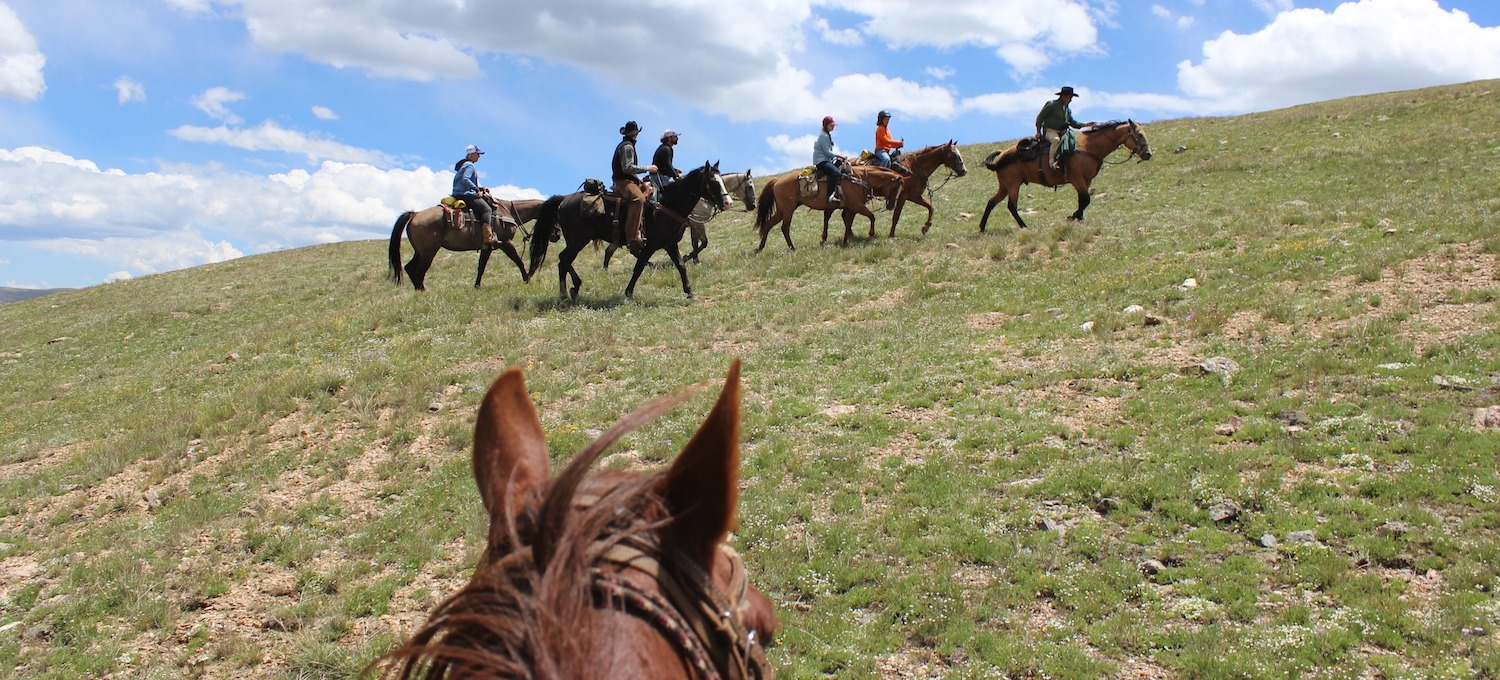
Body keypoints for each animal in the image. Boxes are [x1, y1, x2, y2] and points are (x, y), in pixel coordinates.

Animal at [390, 196, 549, 291]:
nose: (554, 235)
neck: (507, 212)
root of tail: (415, 214)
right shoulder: (506, 243)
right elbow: (519, 261)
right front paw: (527, 279)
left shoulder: (488, 247)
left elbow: (481, 267)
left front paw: (477, 286)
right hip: (428, 252)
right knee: (419, 271)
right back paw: (423, 291)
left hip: (420, 252)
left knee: (409, 268)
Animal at [534, 161, 732, 300]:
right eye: (713, 182)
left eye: (722, 181)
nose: (728, 202)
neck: (668, 206)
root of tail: (564, 200)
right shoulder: (649, 246)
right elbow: (639, 267)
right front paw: (628, 293)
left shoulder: (670, 244)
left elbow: (681, 265)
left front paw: (689, 291)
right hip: (577, 240)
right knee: (564, 260)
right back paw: (566, 292)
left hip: (578, 240)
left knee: (565, 260)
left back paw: (574, 288)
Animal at [603, 168, 756, 265]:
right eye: (750, 186)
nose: (753, 205)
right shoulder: (697, 223)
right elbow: (704, 242)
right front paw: (688, 257)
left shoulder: (694, 225)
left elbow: (696, 242)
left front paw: (695, 260)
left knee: (611, 250)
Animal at [978, 119, 1152, 231]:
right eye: (1139, 134)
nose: (1148, 154)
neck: (1088, 146)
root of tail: (1002, 155)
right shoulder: (1077, 179)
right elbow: (1086, 199)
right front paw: (1073, 216)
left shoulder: (1086, 180)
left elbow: (1083, 200)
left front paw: (1078, 217)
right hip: (1013, 185)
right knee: (1011, 206)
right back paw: (1024, 226)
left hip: (1005, 186)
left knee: (992, 202)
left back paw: (982, 227)